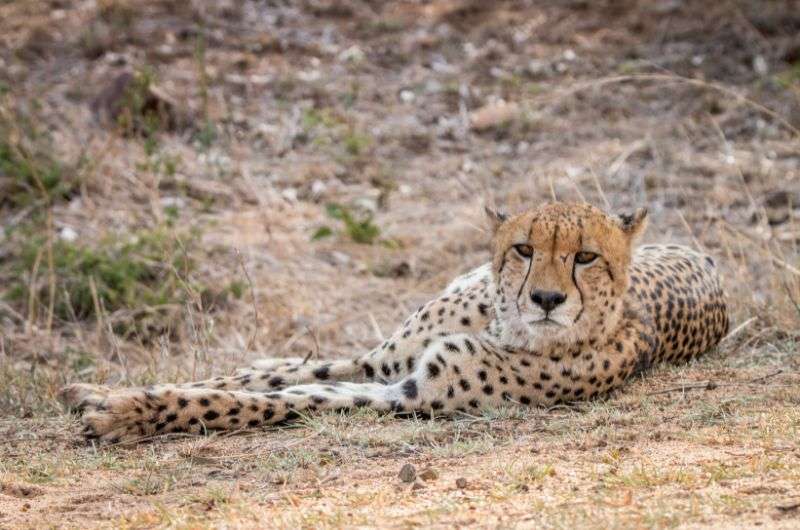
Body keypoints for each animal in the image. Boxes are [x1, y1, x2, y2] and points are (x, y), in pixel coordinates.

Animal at [62, 202, 732, 442]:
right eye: (524, 249)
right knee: (284, 365)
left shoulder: (405, 392)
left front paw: (125, 412)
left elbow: (276, 400)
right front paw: (109, 395)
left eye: (586, 257)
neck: (502, 326)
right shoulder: (386, 364)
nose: (546, 298)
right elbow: (261, 385)